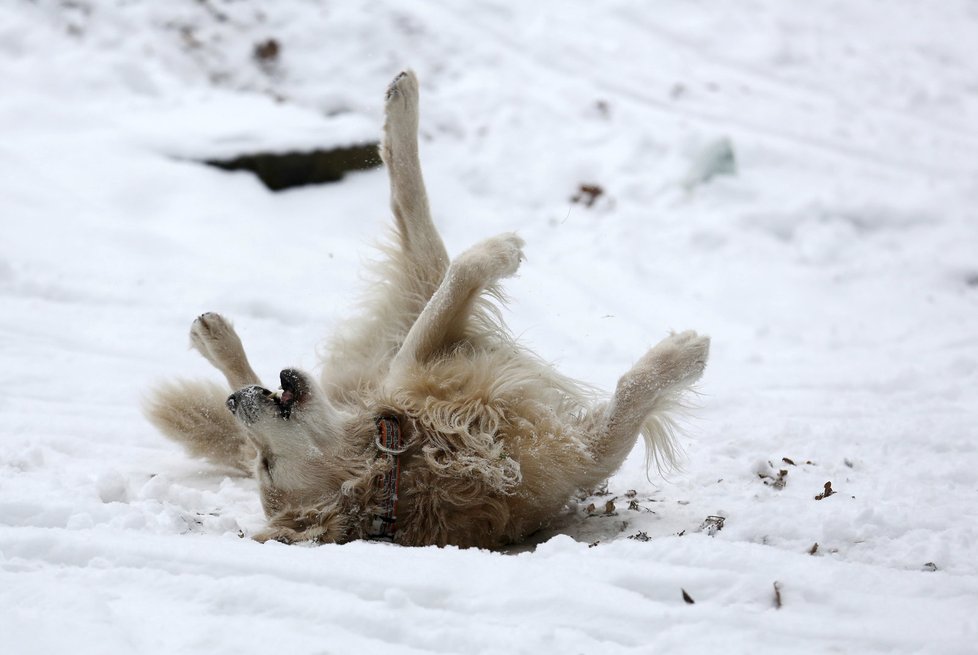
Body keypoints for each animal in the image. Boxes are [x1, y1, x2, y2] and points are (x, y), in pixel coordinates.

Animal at [147, 70, 708, 548]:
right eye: (266, 465)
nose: (235, 404)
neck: (405, 462)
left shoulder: (418, 365)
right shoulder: (581, 453)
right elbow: (630, 390)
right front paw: (684, 354)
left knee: (411, 215)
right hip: (410, 310)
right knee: (425, 235)